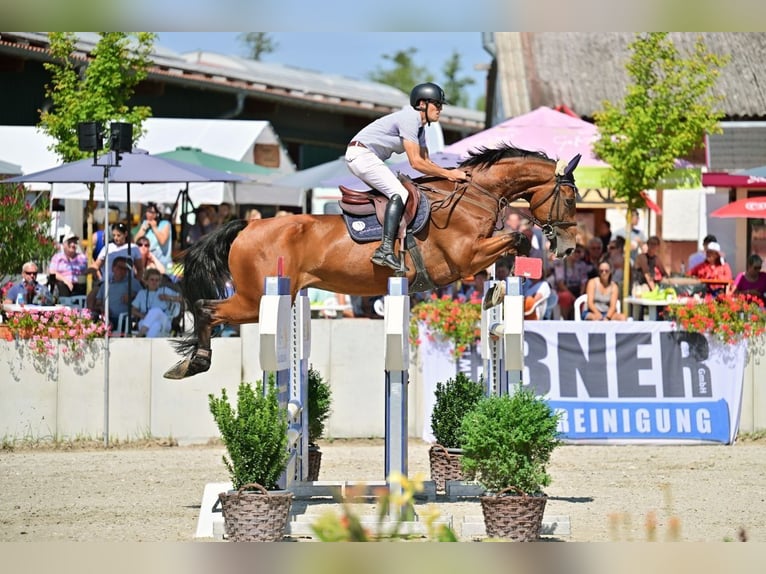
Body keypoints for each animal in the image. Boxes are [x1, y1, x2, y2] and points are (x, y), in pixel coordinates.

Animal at [164, 144, 581, 379]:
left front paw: (497, 290)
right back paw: (194, 364)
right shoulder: (464, 257)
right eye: (571, 198)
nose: (568, 247)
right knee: (206, 308)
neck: (472, 196)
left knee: (206, 308)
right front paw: (501, 288)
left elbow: (512, 244)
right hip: (253, 300)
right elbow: (517, 237)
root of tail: (246, 226)